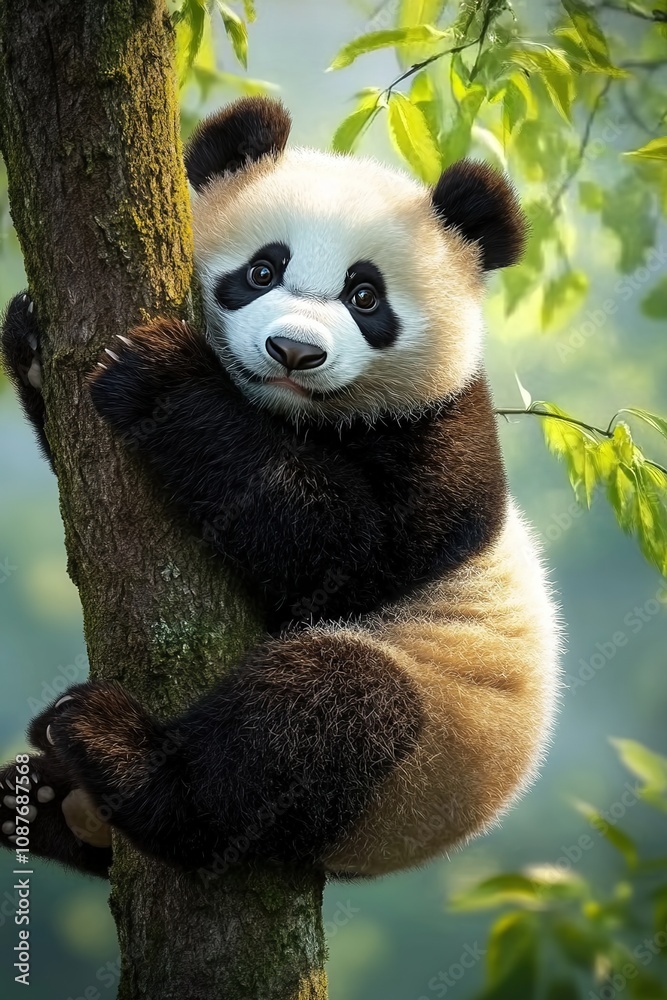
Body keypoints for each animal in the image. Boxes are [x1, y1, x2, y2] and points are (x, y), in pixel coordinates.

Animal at [0, 97, 561, 880]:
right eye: (262, 270)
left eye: (365, 297)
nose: (294, 352)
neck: (294, 415)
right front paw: (28, 335)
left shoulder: (440, 437)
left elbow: (344, 552)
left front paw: (161, 376)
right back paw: (44, 799)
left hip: (421, 757)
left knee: (315, 721)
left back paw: (117, 757)